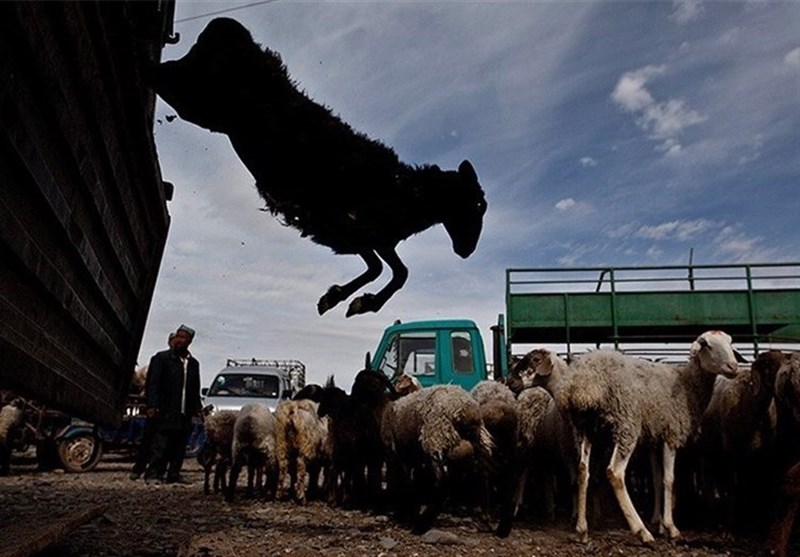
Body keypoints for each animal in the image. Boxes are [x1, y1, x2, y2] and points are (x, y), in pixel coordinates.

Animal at [380, 382, 494, 536]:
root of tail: (466, 409)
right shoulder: (413, 458)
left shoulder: (395, 454)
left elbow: (404, 481)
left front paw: (408, 512)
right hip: (477, 442)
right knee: (482, 475)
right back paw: (483, 519)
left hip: (435, 439)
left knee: (442, 482)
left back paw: (421, 524)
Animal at [520, 330, 744, 544]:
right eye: (706, 344)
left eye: (730, 343)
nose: (733, 366)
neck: (687, 383)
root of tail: (581, 385)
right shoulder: (671, 433)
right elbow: (669, 480)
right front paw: (670, 528)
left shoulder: (654, 439)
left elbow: (657, 479)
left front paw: (659, 523)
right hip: (625, 425)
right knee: (614, 473)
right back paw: (641, 531)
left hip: (585, 431)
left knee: (583, 471)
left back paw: (582, 530)